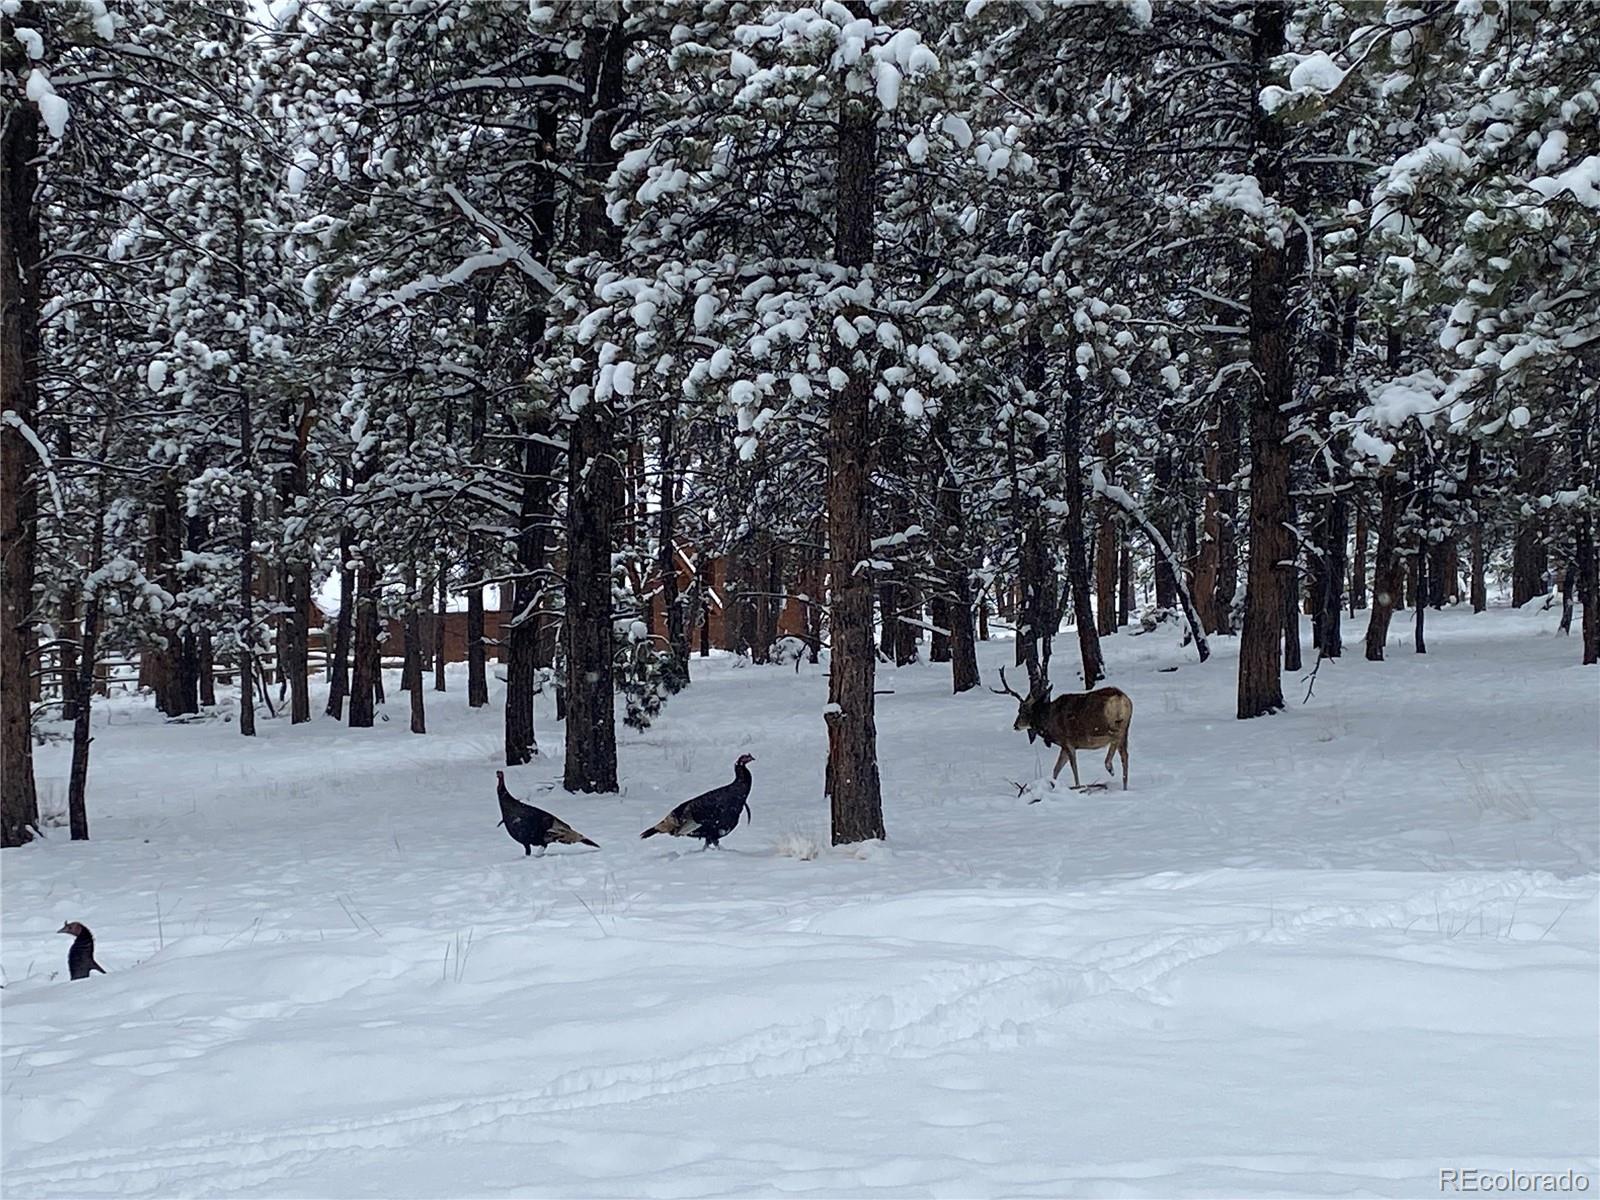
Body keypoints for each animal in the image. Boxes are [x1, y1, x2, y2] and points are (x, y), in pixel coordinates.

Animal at [992, 668, 1132, 790]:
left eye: (1022, 710)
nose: (1015, 725)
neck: (1048, 722)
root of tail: (1120, 698)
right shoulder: (1065, 746)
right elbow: (1056, 769)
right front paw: (1052, 785)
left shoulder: (1068, 742)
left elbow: (1073, 768)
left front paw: (1077, 786)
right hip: (1126, 726)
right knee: (1125, 755)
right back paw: (1124, 786)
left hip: (1101, 726)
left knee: (1115, 738)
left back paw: (1109, 767)